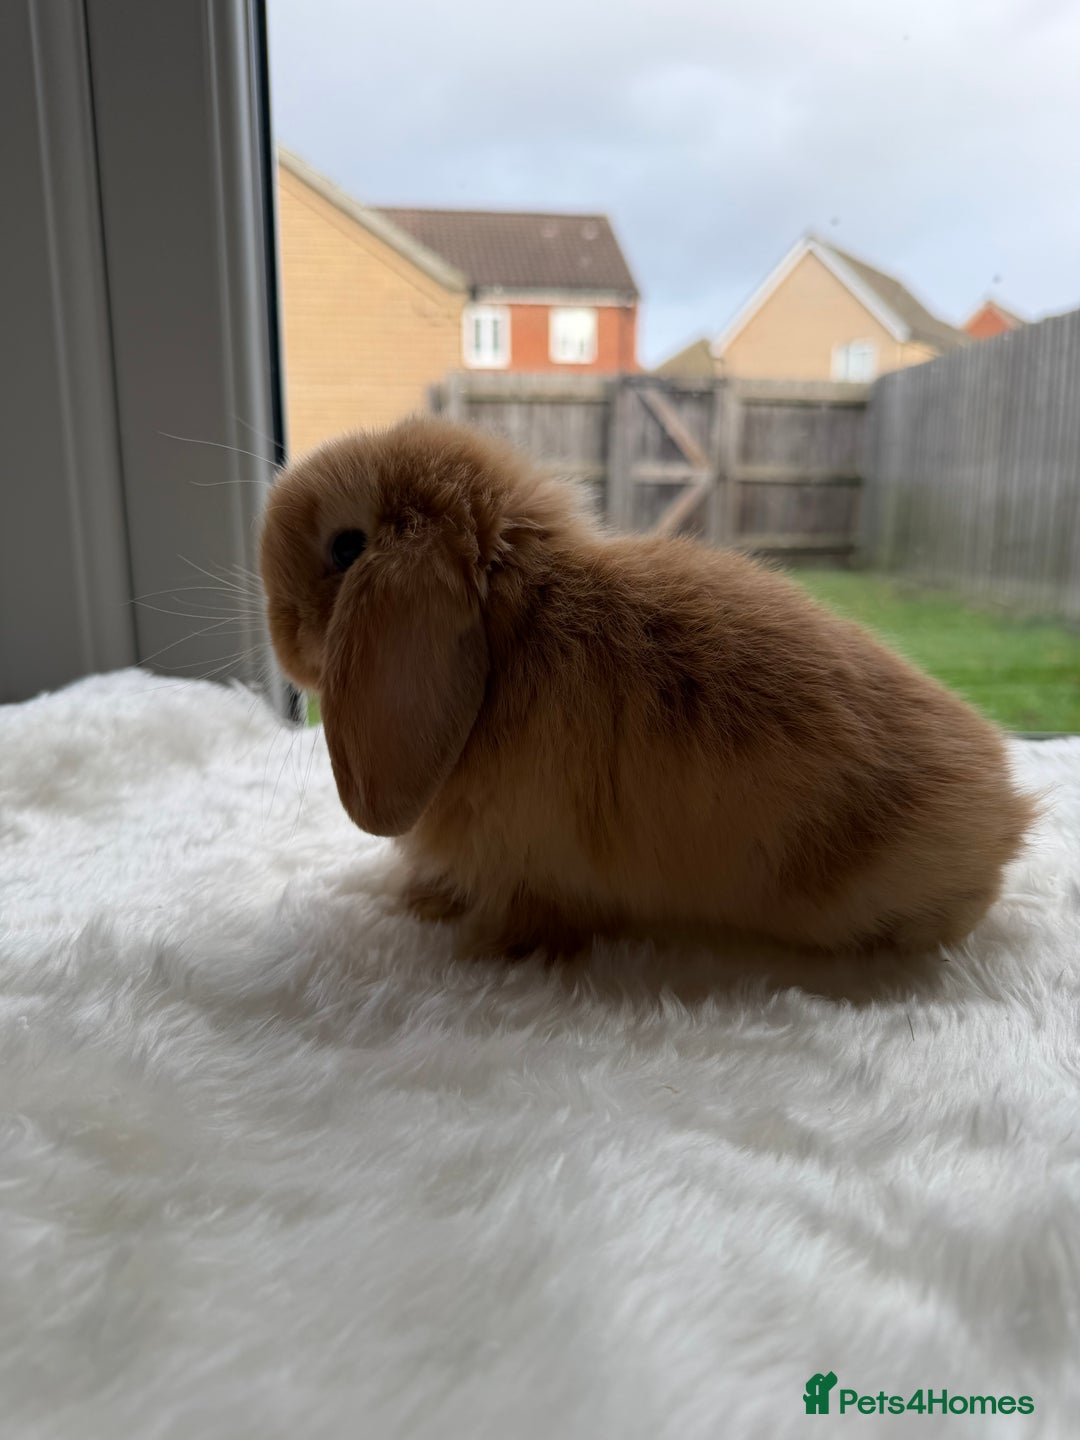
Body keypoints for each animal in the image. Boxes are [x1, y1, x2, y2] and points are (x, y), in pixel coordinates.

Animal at [259, 414, 1034, 959]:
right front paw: (423, 902)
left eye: (347, 548)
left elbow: (532, 912)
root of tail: (1009, 815)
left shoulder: (537, 863)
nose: (279, 634)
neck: (515, 632)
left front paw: (483, 950)